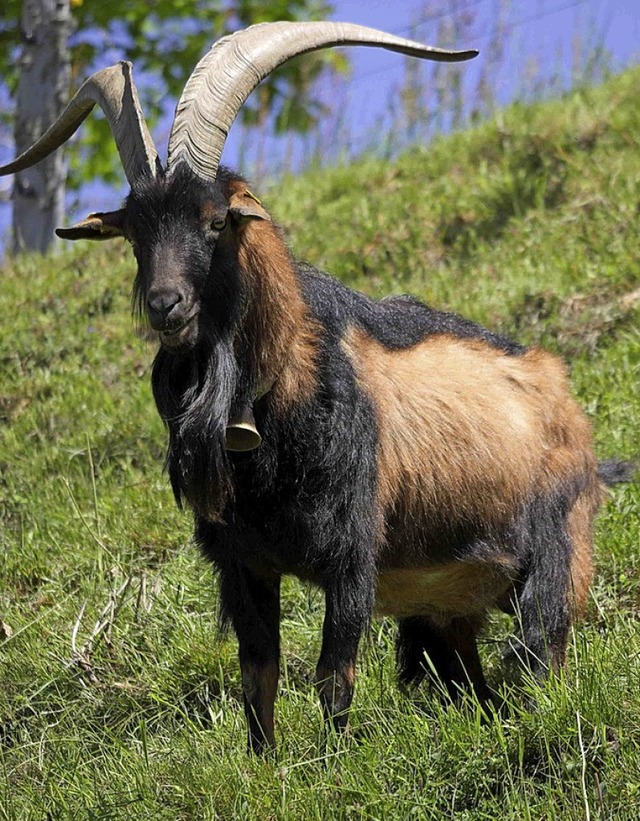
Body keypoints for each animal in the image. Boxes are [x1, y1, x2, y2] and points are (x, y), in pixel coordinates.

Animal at [1, 20, 632, 748]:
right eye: (135, 234)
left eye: (215, 219)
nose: (165, 306)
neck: (277, 395)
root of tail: (561, 392)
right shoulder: (242, 563)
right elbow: (258, 674)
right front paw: (267, 763)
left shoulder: (353, 555)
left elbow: (334, 674)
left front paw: (329, 761)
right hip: (446, 604)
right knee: (471, 682)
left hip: (556, 553)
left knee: (540, 651)